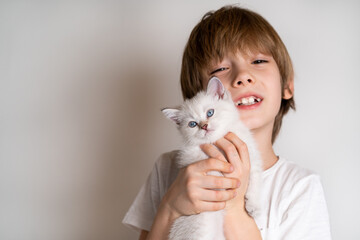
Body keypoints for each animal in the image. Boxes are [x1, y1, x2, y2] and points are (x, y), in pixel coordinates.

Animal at [162, 77, 262, 240]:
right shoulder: (190, 156)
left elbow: (255, 183)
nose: (204, 126)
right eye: (192, 124)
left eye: (210, 113)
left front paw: (255, 208)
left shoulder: (252, 159)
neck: (217, 141)